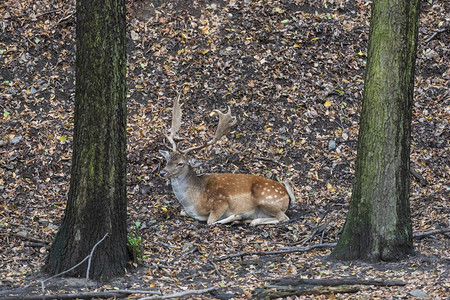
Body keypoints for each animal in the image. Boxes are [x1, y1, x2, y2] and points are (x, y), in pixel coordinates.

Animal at [160, 96, 294, 225]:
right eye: (167, 159)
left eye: (180, 163)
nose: (162, 172)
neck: (192, 201)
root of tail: (285, 194)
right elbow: (182, 212)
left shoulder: (220, 202)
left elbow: (210, 221)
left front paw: (236, 216)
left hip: (268, 200)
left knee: (284, 218)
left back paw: (244, 219)